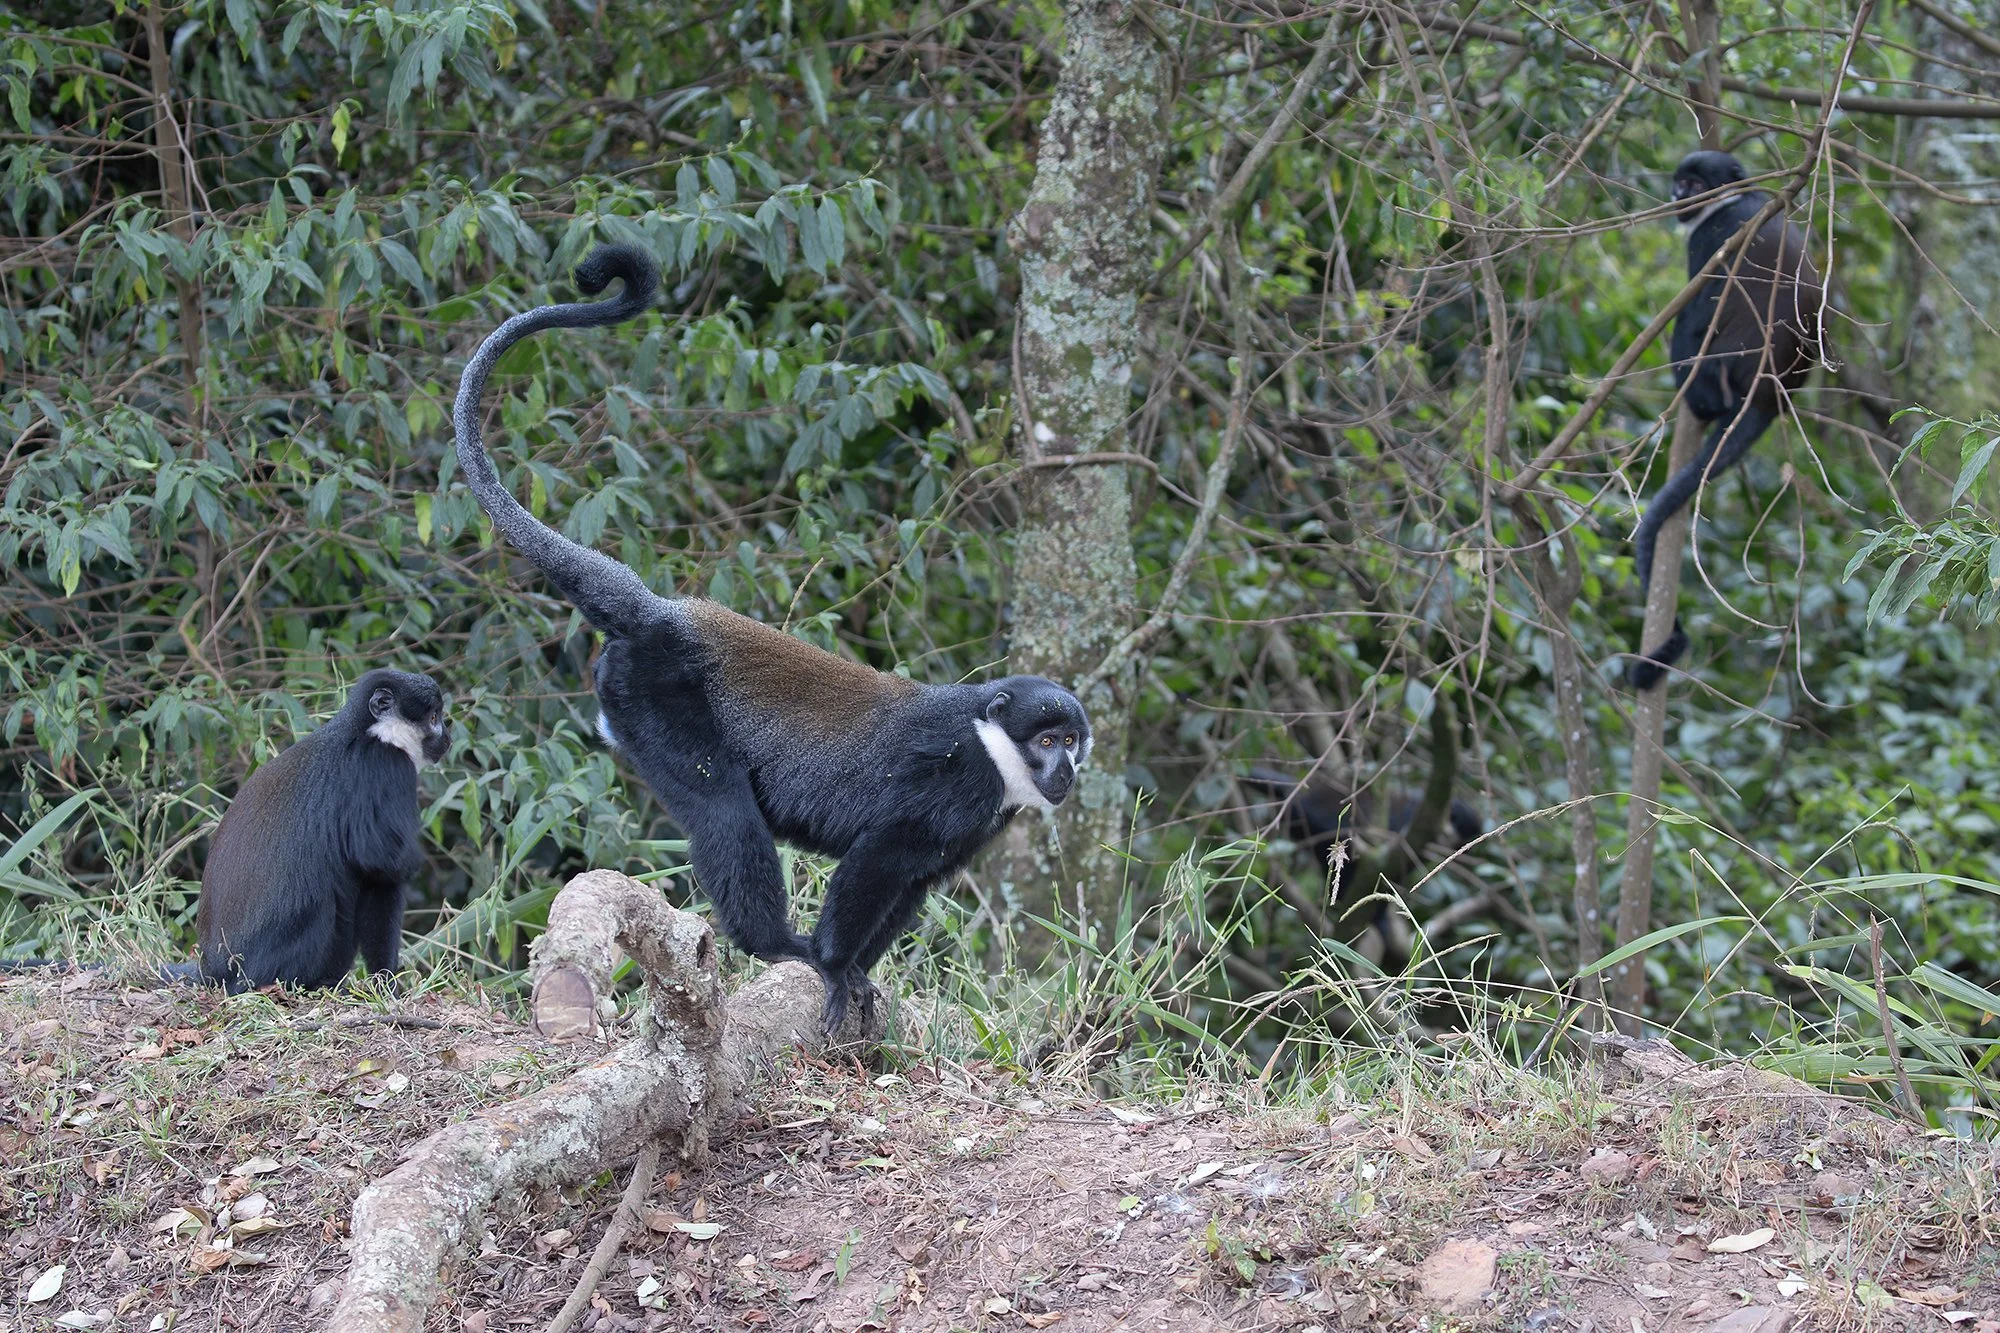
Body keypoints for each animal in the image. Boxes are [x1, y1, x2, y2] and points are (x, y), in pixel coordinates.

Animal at [195, 669, 449, 992]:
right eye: (434, 718)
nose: (447, 737)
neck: (366, 731)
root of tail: (213, 971)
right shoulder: (385, 765)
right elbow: (381, 863)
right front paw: (386, 985)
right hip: (269, 965)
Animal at [451, 243, 1092, 1035]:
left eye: (1072, 740)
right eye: (1048, 739)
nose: (1064, 768)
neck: (990, 740)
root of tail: (667, 616)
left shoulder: (967, 828)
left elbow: (912, 881)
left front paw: (862, 974)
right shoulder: (949, 780)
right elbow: (875, 859)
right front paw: (834, 965)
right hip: (654, 698)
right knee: (723, 802)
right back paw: (773, 943)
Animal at [1628, 150, 1824, 689]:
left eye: (1695, 185)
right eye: (1679, 182)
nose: (1678, 196)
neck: (1743, 198)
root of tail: (1769, 398)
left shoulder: (1713, 239)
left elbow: (1696, 315)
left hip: (1715, 377)